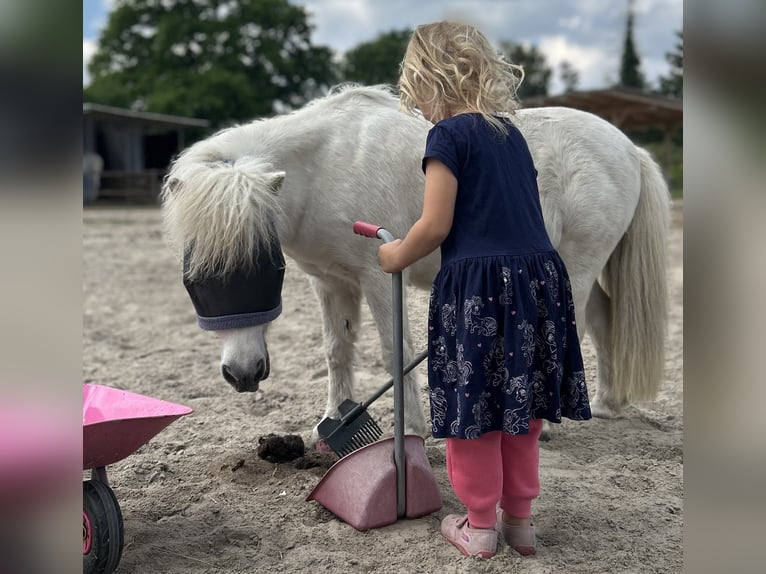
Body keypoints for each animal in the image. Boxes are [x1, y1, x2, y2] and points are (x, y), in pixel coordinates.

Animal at [162, 84, 672, 440]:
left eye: (264, 272)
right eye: (195, 281)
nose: (243, 374)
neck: (324, 165)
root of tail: (630, 148)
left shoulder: (377, 277)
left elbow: (394, 350)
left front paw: (412, 431)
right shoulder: (330, 283)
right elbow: (336, 350)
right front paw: (330, 420)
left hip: (580, 265)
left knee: (577, 328)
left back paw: (547, 426)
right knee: (604, 321)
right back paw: (606, 404)